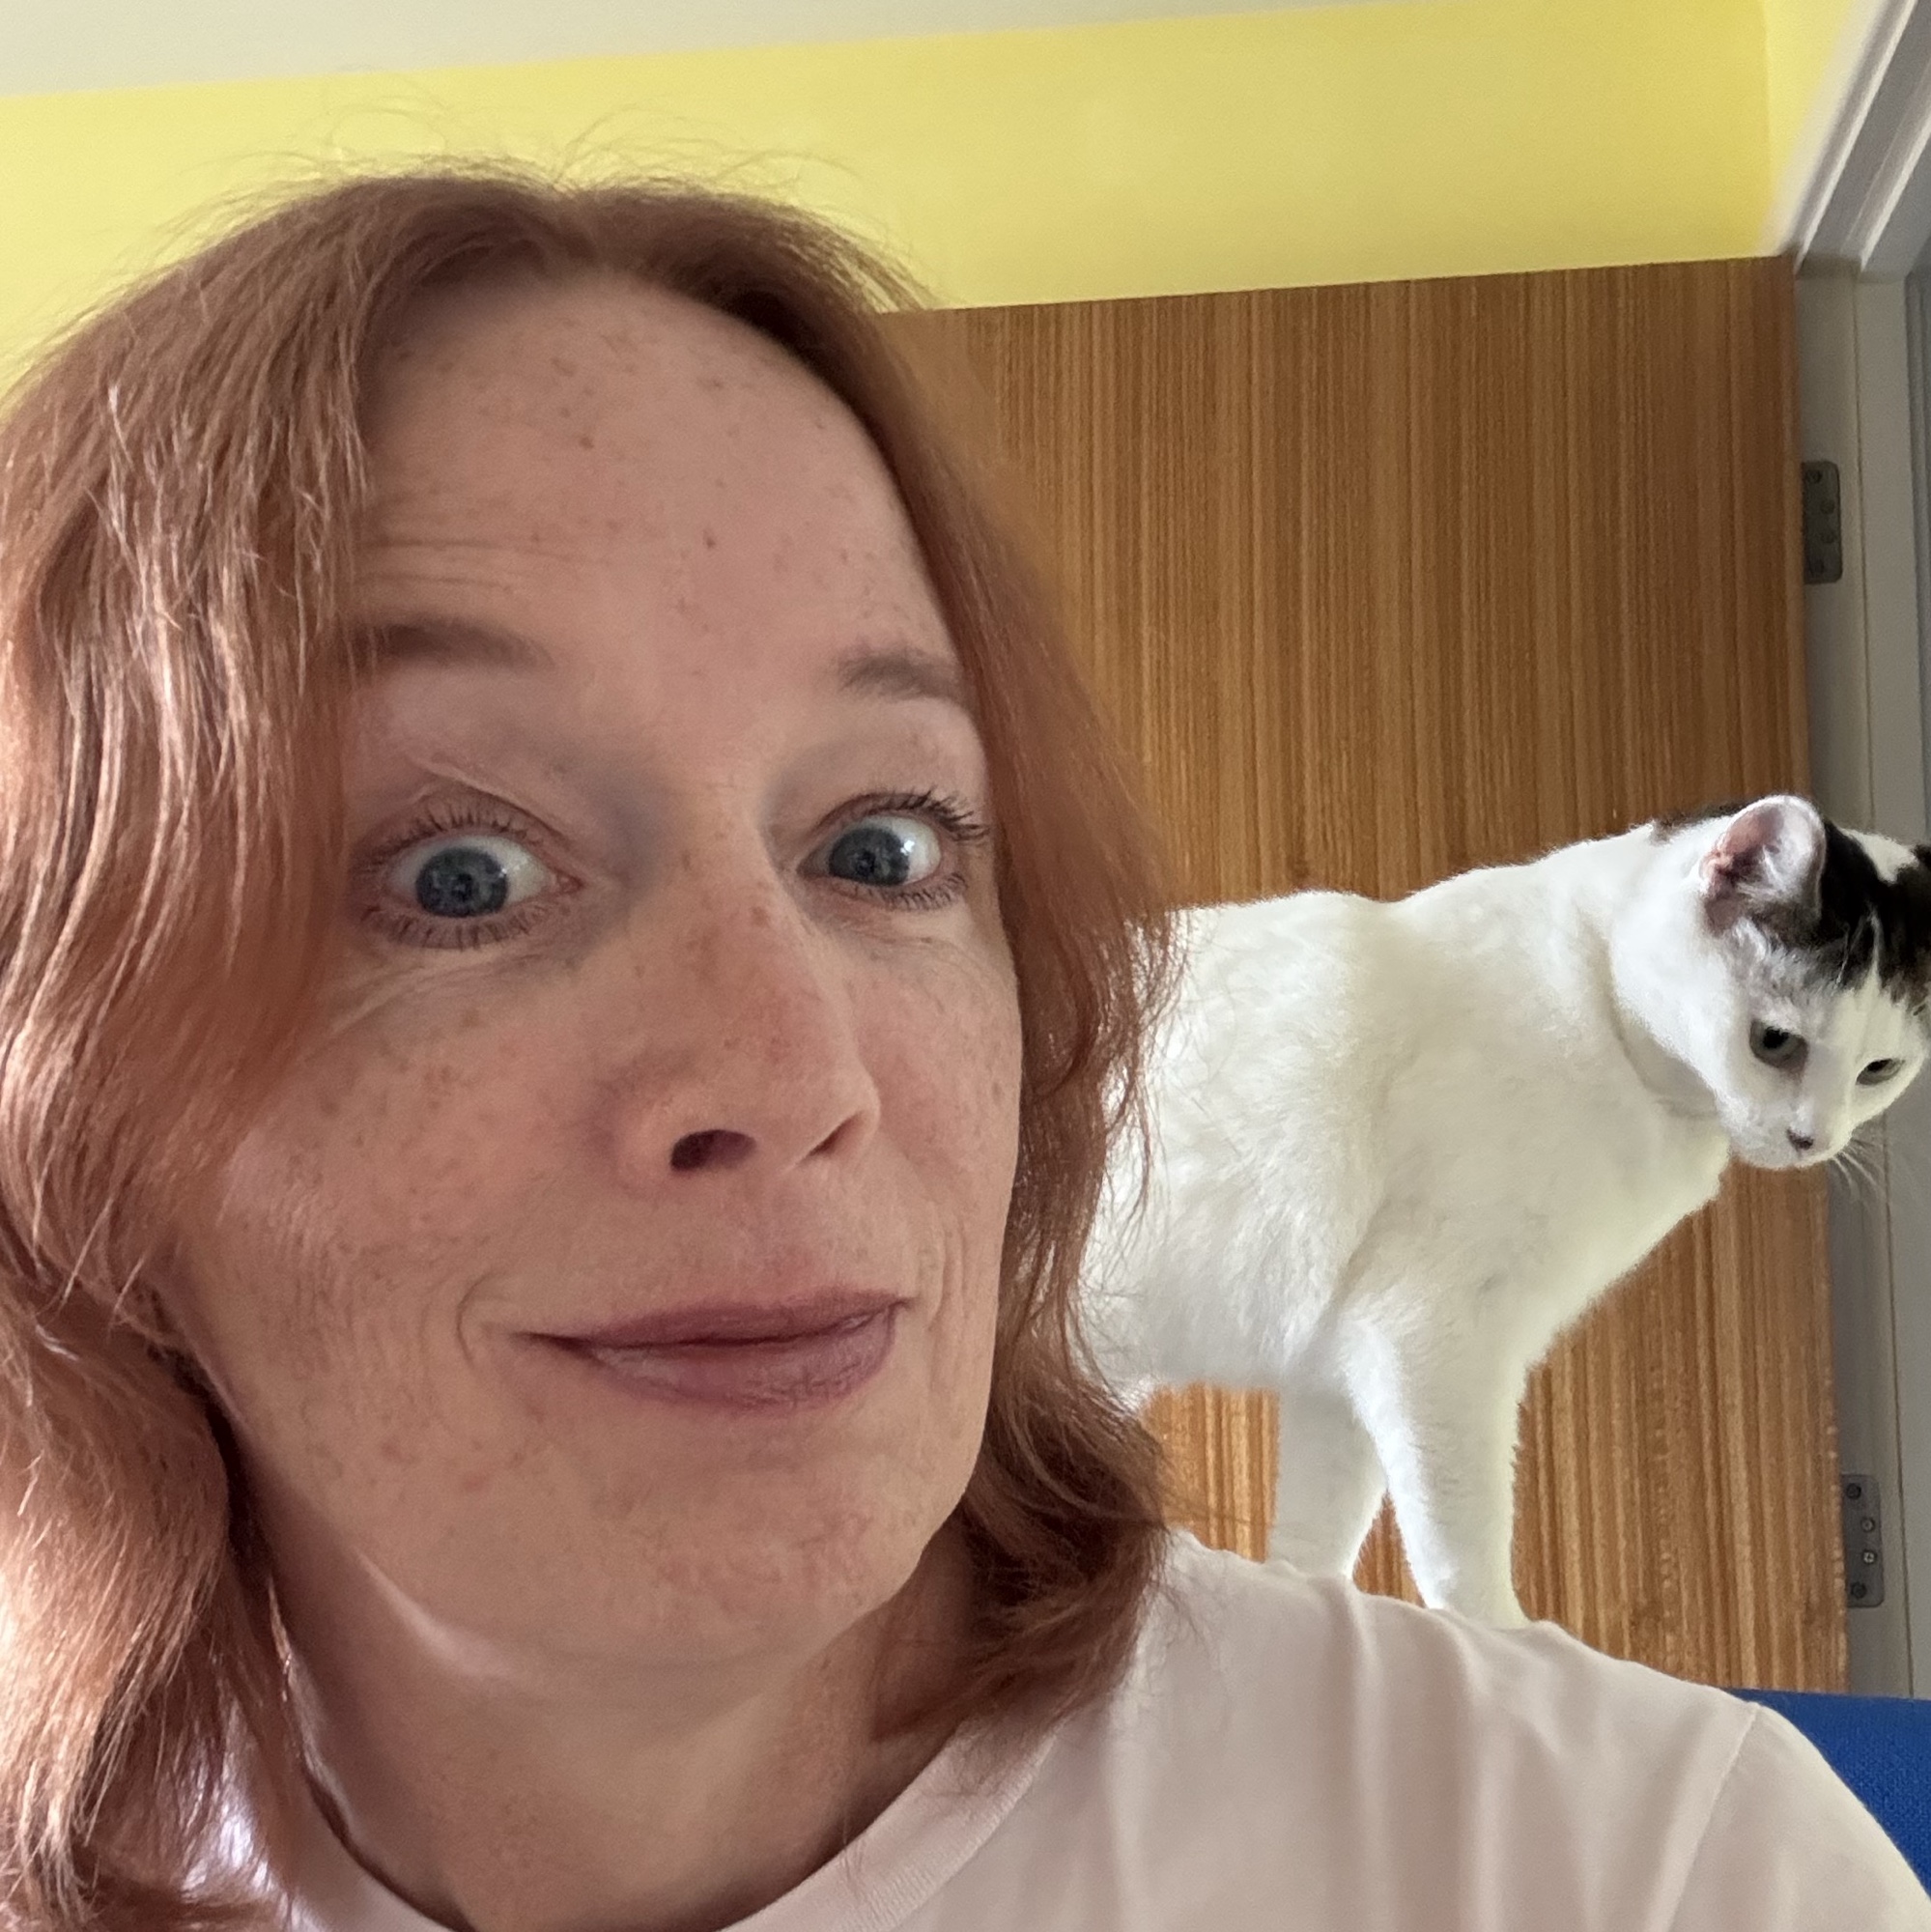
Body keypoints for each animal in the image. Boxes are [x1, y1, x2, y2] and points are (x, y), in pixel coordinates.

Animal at [1081, 795, 1931, 1626]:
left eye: (1879, 1070)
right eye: (1773, 1042)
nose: (1812, 1140)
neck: (1598, 1004)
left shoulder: (1336, 1371)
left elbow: (1317, 1535)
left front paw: (1308, 1604)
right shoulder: (1431, 1331)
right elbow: (1463, 1537)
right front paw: (1501, 1639)